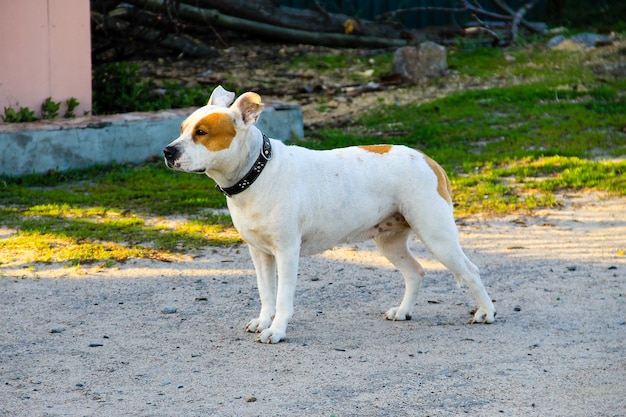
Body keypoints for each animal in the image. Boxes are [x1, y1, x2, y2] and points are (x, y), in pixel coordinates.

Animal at [163, 86, 494, 342]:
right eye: (181, 130)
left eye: (202, 133)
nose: (168, 151)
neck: (257, 171)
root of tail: (428, 159)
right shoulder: (259, 254)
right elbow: (266, 293)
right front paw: (263, 320)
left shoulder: (287, 252)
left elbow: (283, 297)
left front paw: (277, 331)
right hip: (389, 241)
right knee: (415, 272)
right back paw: (403, 311)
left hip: (437, 236)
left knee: (471, 271)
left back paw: (486, 312)